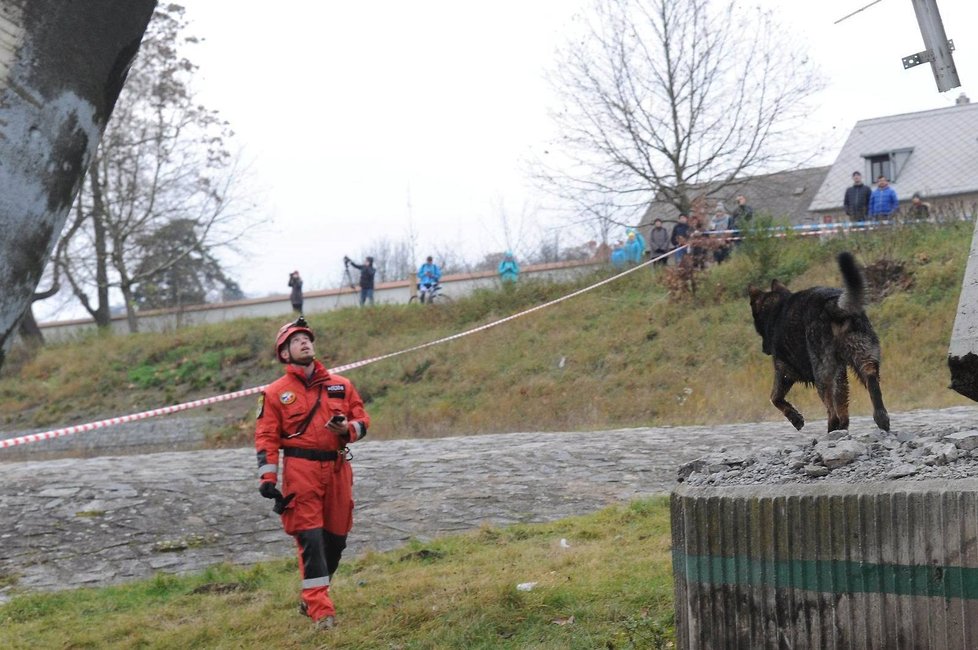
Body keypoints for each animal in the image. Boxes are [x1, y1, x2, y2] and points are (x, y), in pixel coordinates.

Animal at [748, 252, 884, 430]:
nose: (764, 349)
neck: (777, 309)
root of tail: (833, 304)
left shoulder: (784, 370)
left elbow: (774, 397)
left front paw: (795, 418)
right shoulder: (840, 371)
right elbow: (842, 402)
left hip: (822, 373)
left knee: (831, 409)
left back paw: (832, 427)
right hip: (862, 356)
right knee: (870, 382)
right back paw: (880, 418)